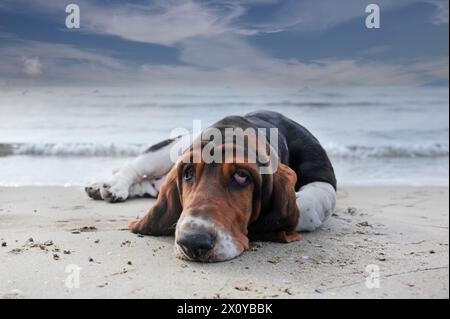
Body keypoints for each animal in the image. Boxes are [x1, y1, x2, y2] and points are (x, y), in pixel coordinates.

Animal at [86, 111, 336, 262]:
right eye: (188, 173)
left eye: (242, 177)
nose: (192, 242)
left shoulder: (325, 179)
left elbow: (305, 208)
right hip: (173, 147)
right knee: (134, 168)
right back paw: (111, 186)